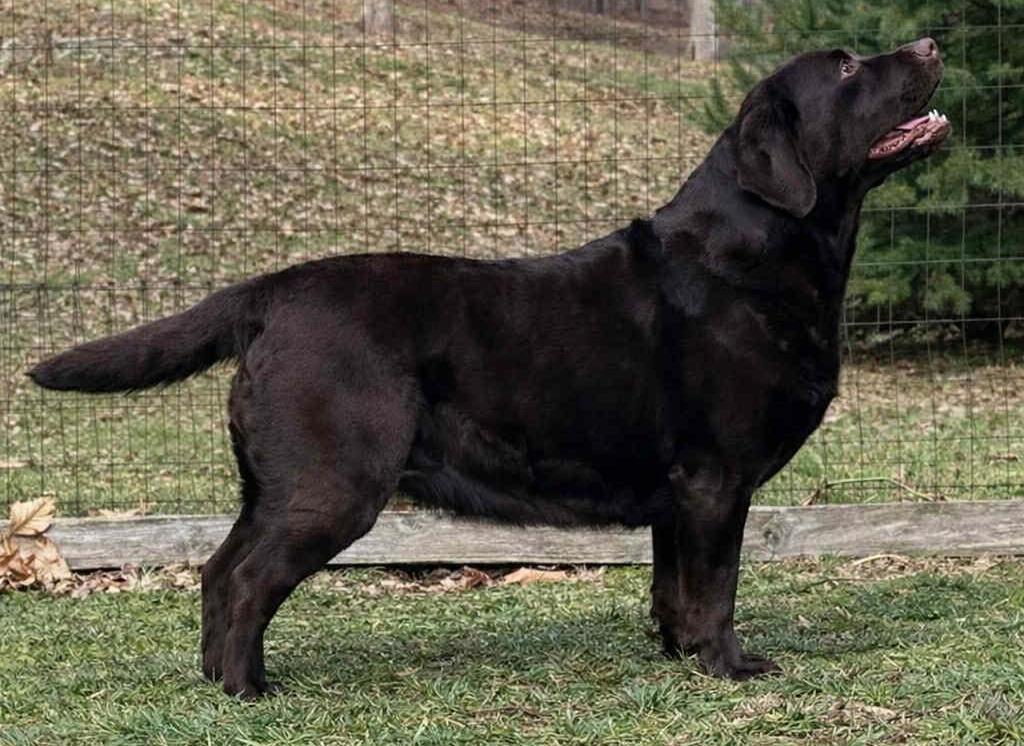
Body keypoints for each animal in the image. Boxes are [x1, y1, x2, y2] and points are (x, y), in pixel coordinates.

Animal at [30, 38, 949, 698]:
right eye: (847, 67)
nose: (933, 41)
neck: (763, 252)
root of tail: (273, 289)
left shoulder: (677, 494)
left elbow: (671, 589)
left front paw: (678, 658)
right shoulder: (715, 480)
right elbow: (715, 587)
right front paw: (728, 666)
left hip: (281, 484)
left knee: (221, 572)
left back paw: (220, 682)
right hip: (334, 483)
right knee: (249, 578)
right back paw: (250, 691)